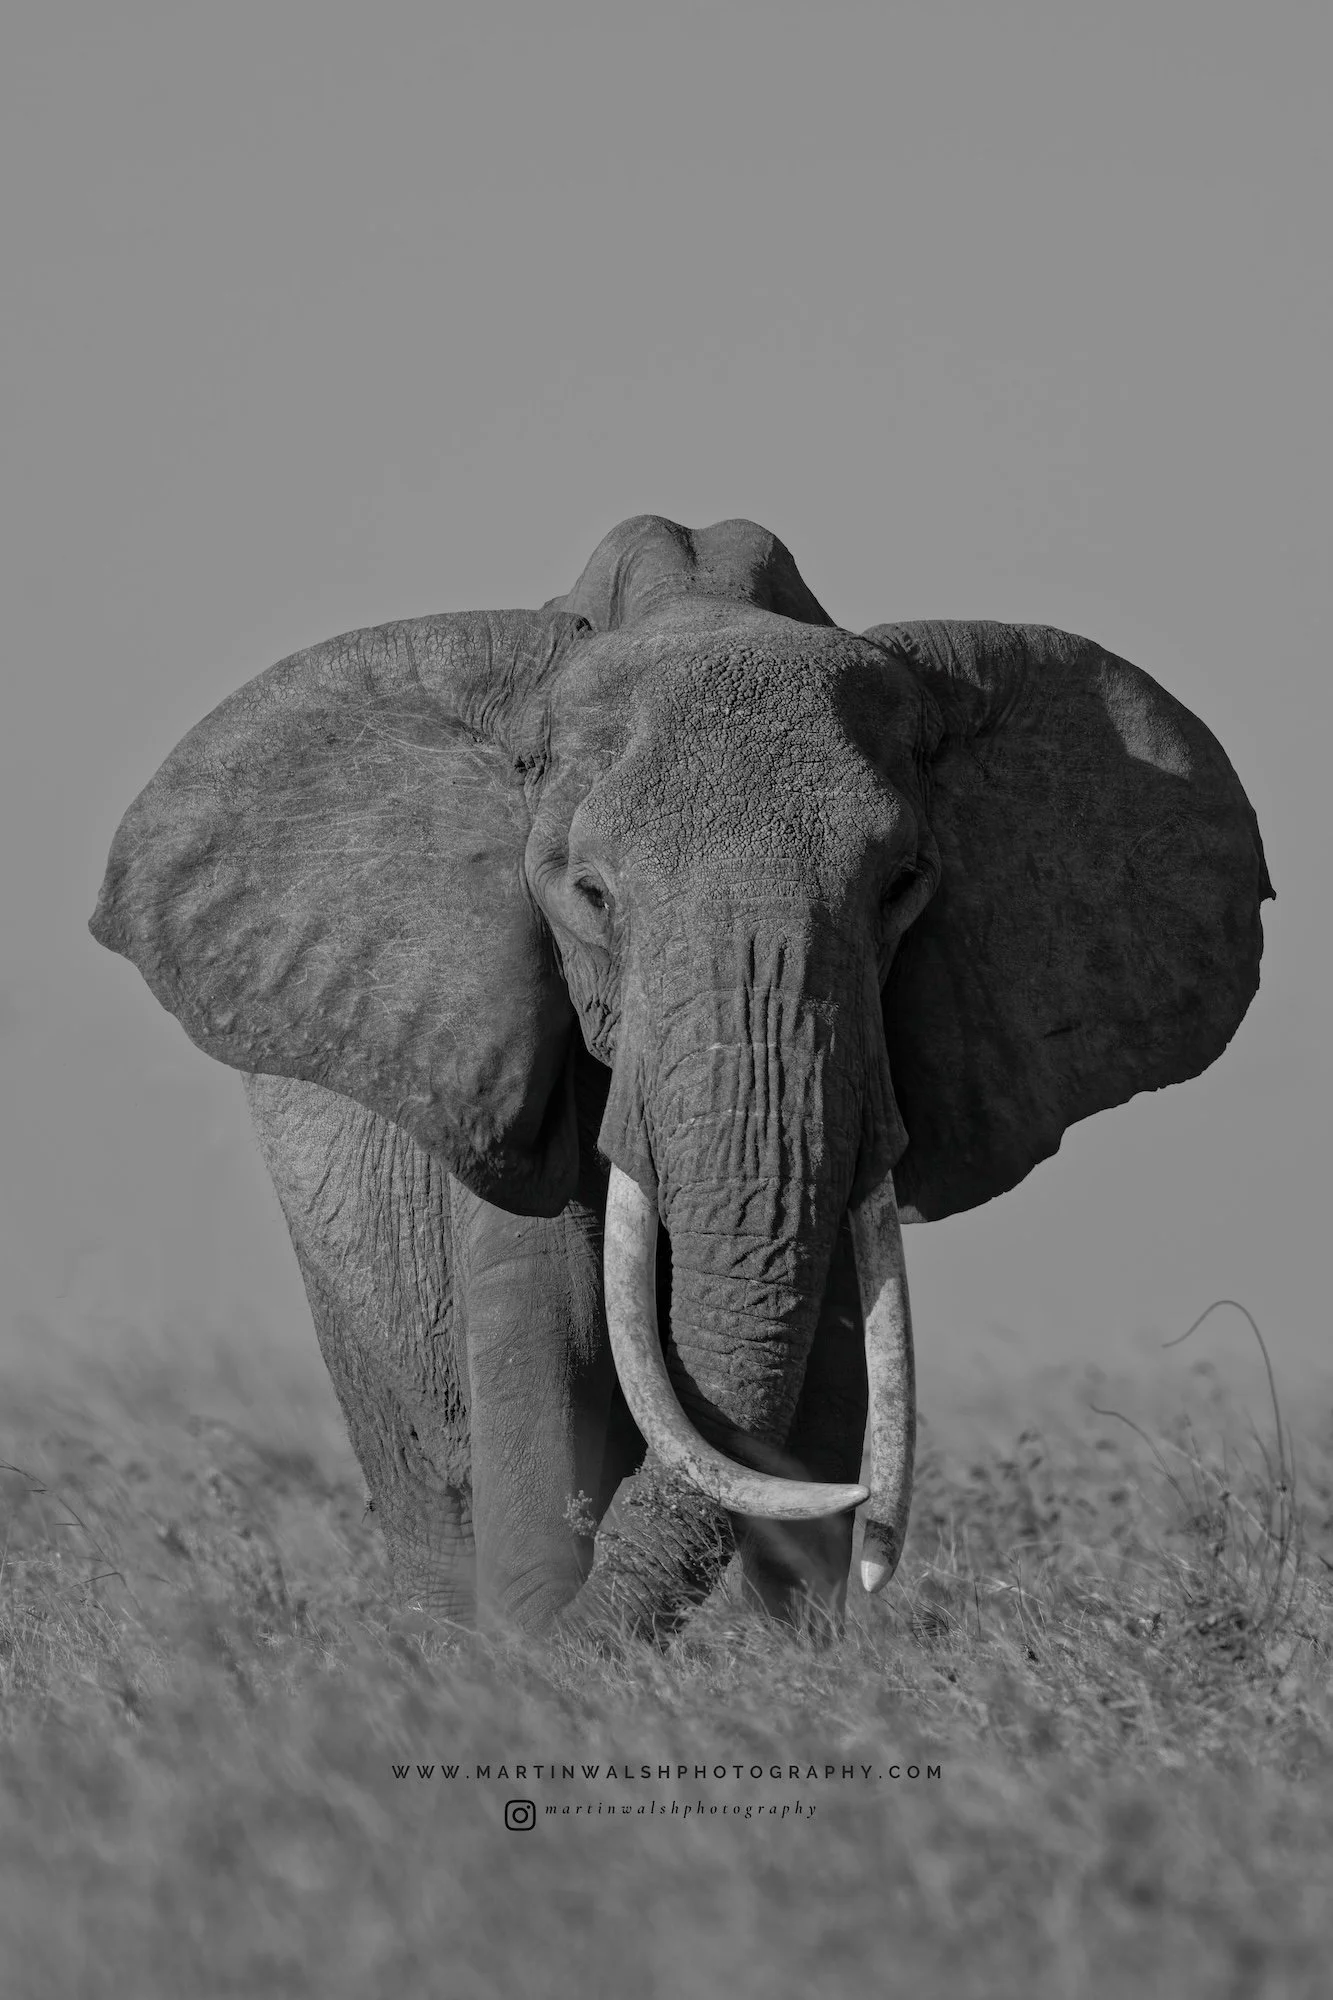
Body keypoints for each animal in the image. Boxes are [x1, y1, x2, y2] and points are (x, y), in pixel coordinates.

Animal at [89, 514, 1271, 1644]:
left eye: (901, 885)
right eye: (589, 895)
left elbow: (824, 1376)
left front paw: (804, 1661)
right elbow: (547, 1346)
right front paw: (529, 1656)